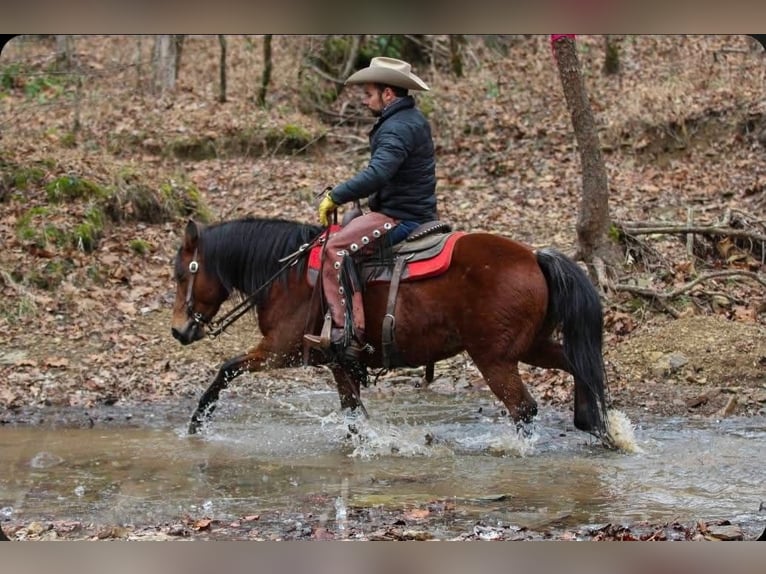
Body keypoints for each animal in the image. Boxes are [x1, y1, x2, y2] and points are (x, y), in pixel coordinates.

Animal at [170, 216, 611, 443]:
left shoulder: (282, 350)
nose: (179, 331)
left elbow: (227, 368)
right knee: (578, 365)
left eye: (182, 274)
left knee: (524, 408)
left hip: (495, 358)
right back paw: (596, 426)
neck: (289, 277)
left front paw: (197, 423)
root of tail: (535, 258)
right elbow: (352, 413)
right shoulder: (338, 363)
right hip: (531, 345)